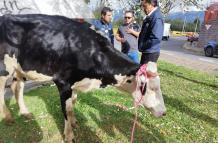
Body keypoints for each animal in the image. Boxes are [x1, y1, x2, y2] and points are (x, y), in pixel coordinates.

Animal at [0, 13, 166, 142]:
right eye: (150, 88)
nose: (164, 112)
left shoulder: (76, 83)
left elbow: (73, 104)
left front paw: (74, 122)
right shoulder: (63, 83)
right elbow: (66, 110)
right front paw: (69, 136)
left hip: (20, 68)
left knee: (17, 87)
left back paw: (24, 112)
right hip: (4, 68)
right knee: (2, 91)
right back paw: (7, 117)